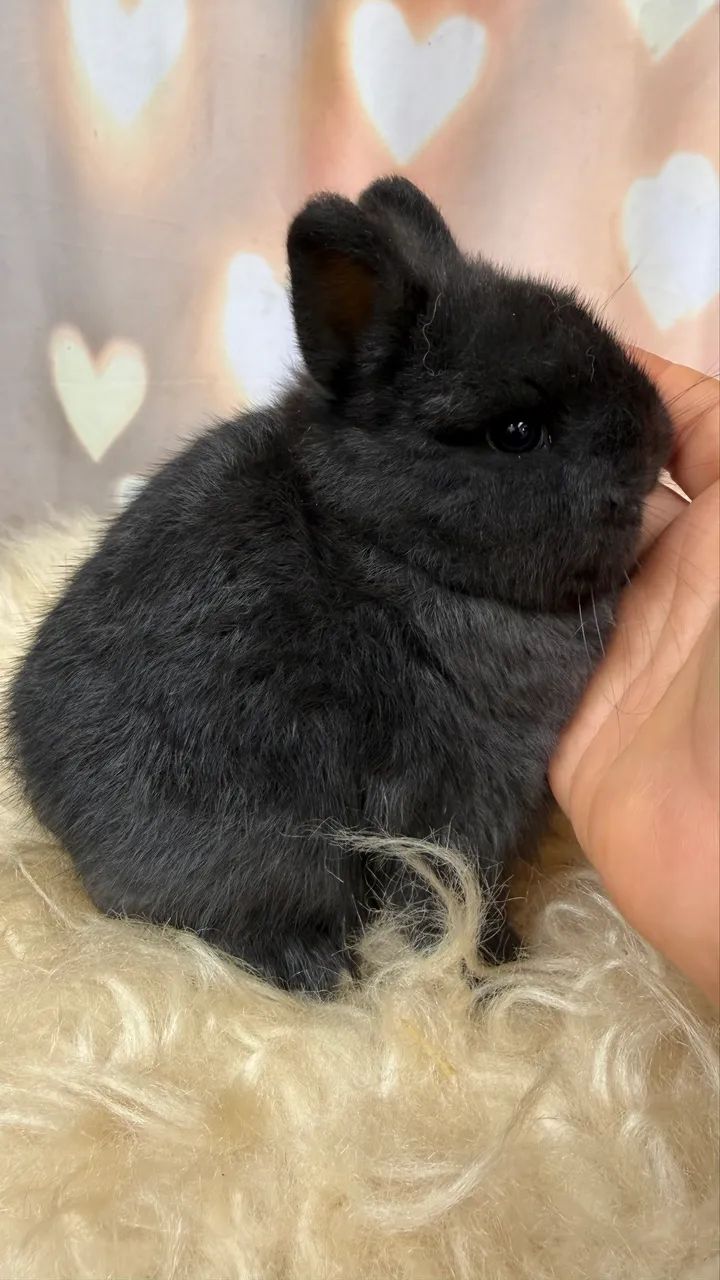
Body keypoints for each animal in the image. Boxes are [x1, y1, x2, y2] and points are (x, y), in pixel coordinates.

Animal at [8, 177, 671, 994]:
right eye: (518, 432)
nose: (657, 439)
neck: (389, 549)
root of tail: (56, 820)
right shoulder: (448, 803)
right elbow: (449, 898)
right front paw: (490, 974)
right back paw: (322, 974)